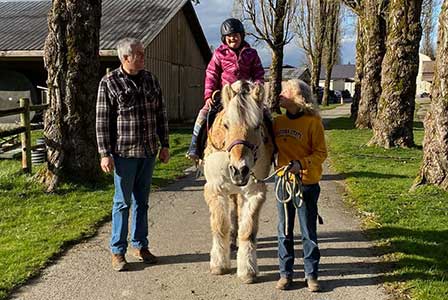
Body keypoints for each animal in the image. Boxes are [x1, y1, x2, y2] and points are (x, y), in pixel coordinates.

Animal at [202, 79, 272, 284]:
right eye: (226, 125)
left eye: (257, 126)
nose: (240, 170)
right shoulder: (215, 189)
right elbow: (220, 225)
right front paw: (219, 264)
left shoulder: (253, 192)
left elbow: (247, 230)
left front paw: (248, 269)